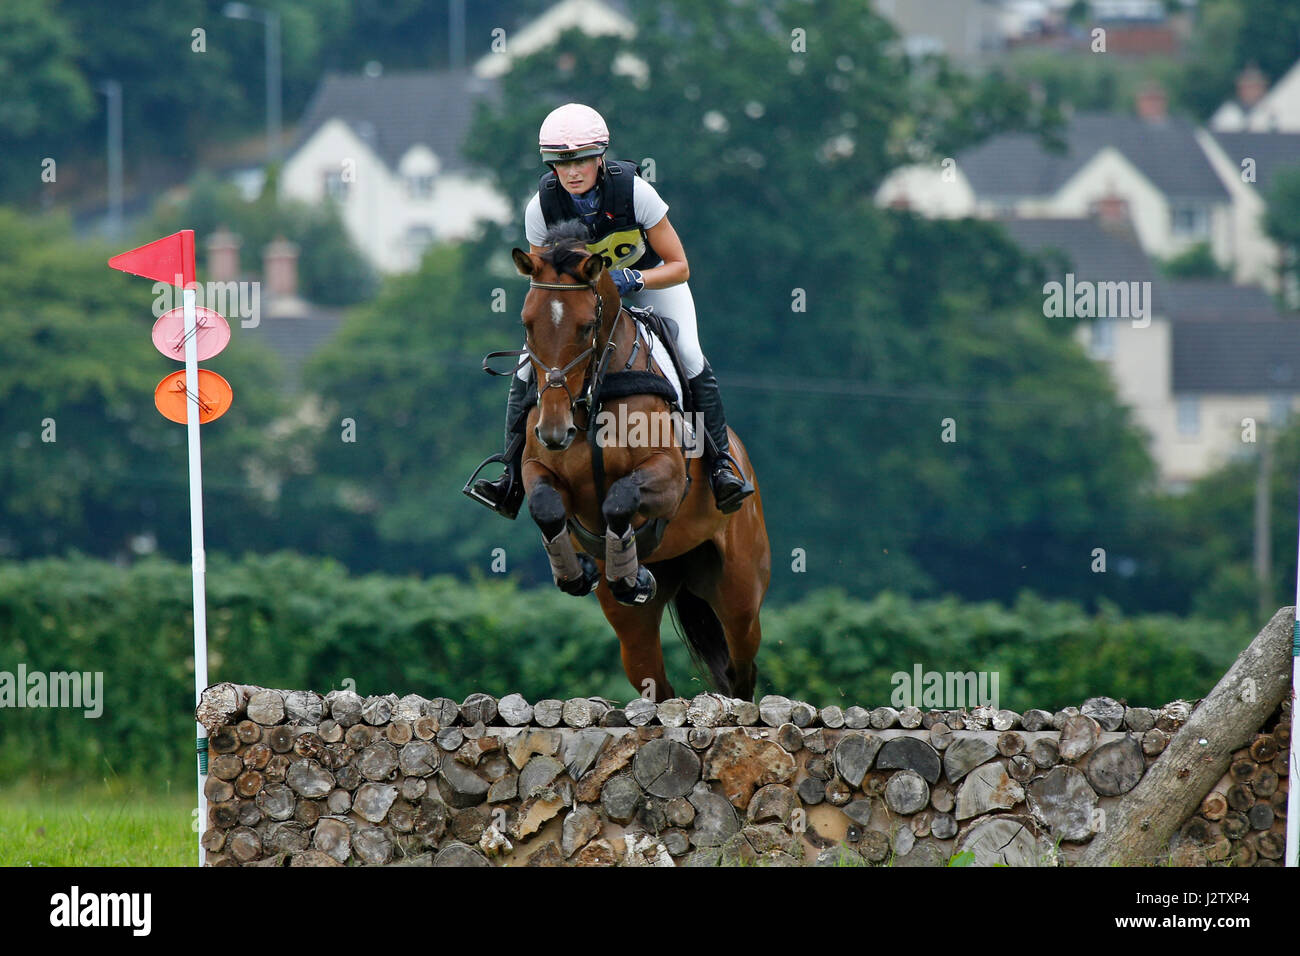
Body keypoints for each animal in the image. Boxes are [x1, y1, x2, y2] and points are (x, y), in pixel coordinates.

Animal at [491, 227, 764, 697]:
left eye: (586, 327)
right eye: (527, 325)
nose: (554, 431)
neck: (593, 396)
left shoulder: (668, 477)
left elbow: (619, 499)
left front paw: (626, 573)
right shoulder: (538, 470)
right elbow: (546, 507)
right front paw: (579, 572)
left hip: (739, 594)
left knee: (740, 670)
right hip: (635, 630)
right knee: (655, 682)